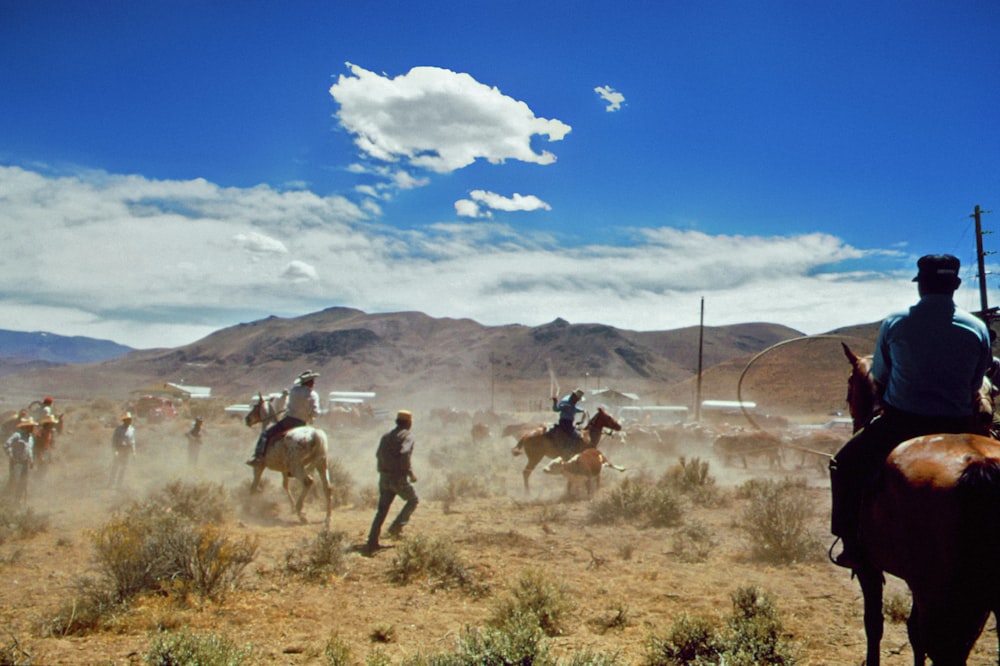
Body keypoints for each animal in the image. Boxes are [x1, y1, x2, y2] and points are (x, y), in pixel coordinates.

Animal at [840, 342, 1000, 664]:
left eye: (850, 383)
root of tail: (979, 462)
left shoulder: (869, 567)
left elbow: (874, 623)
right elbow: (913, 634)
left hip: (935, 591)